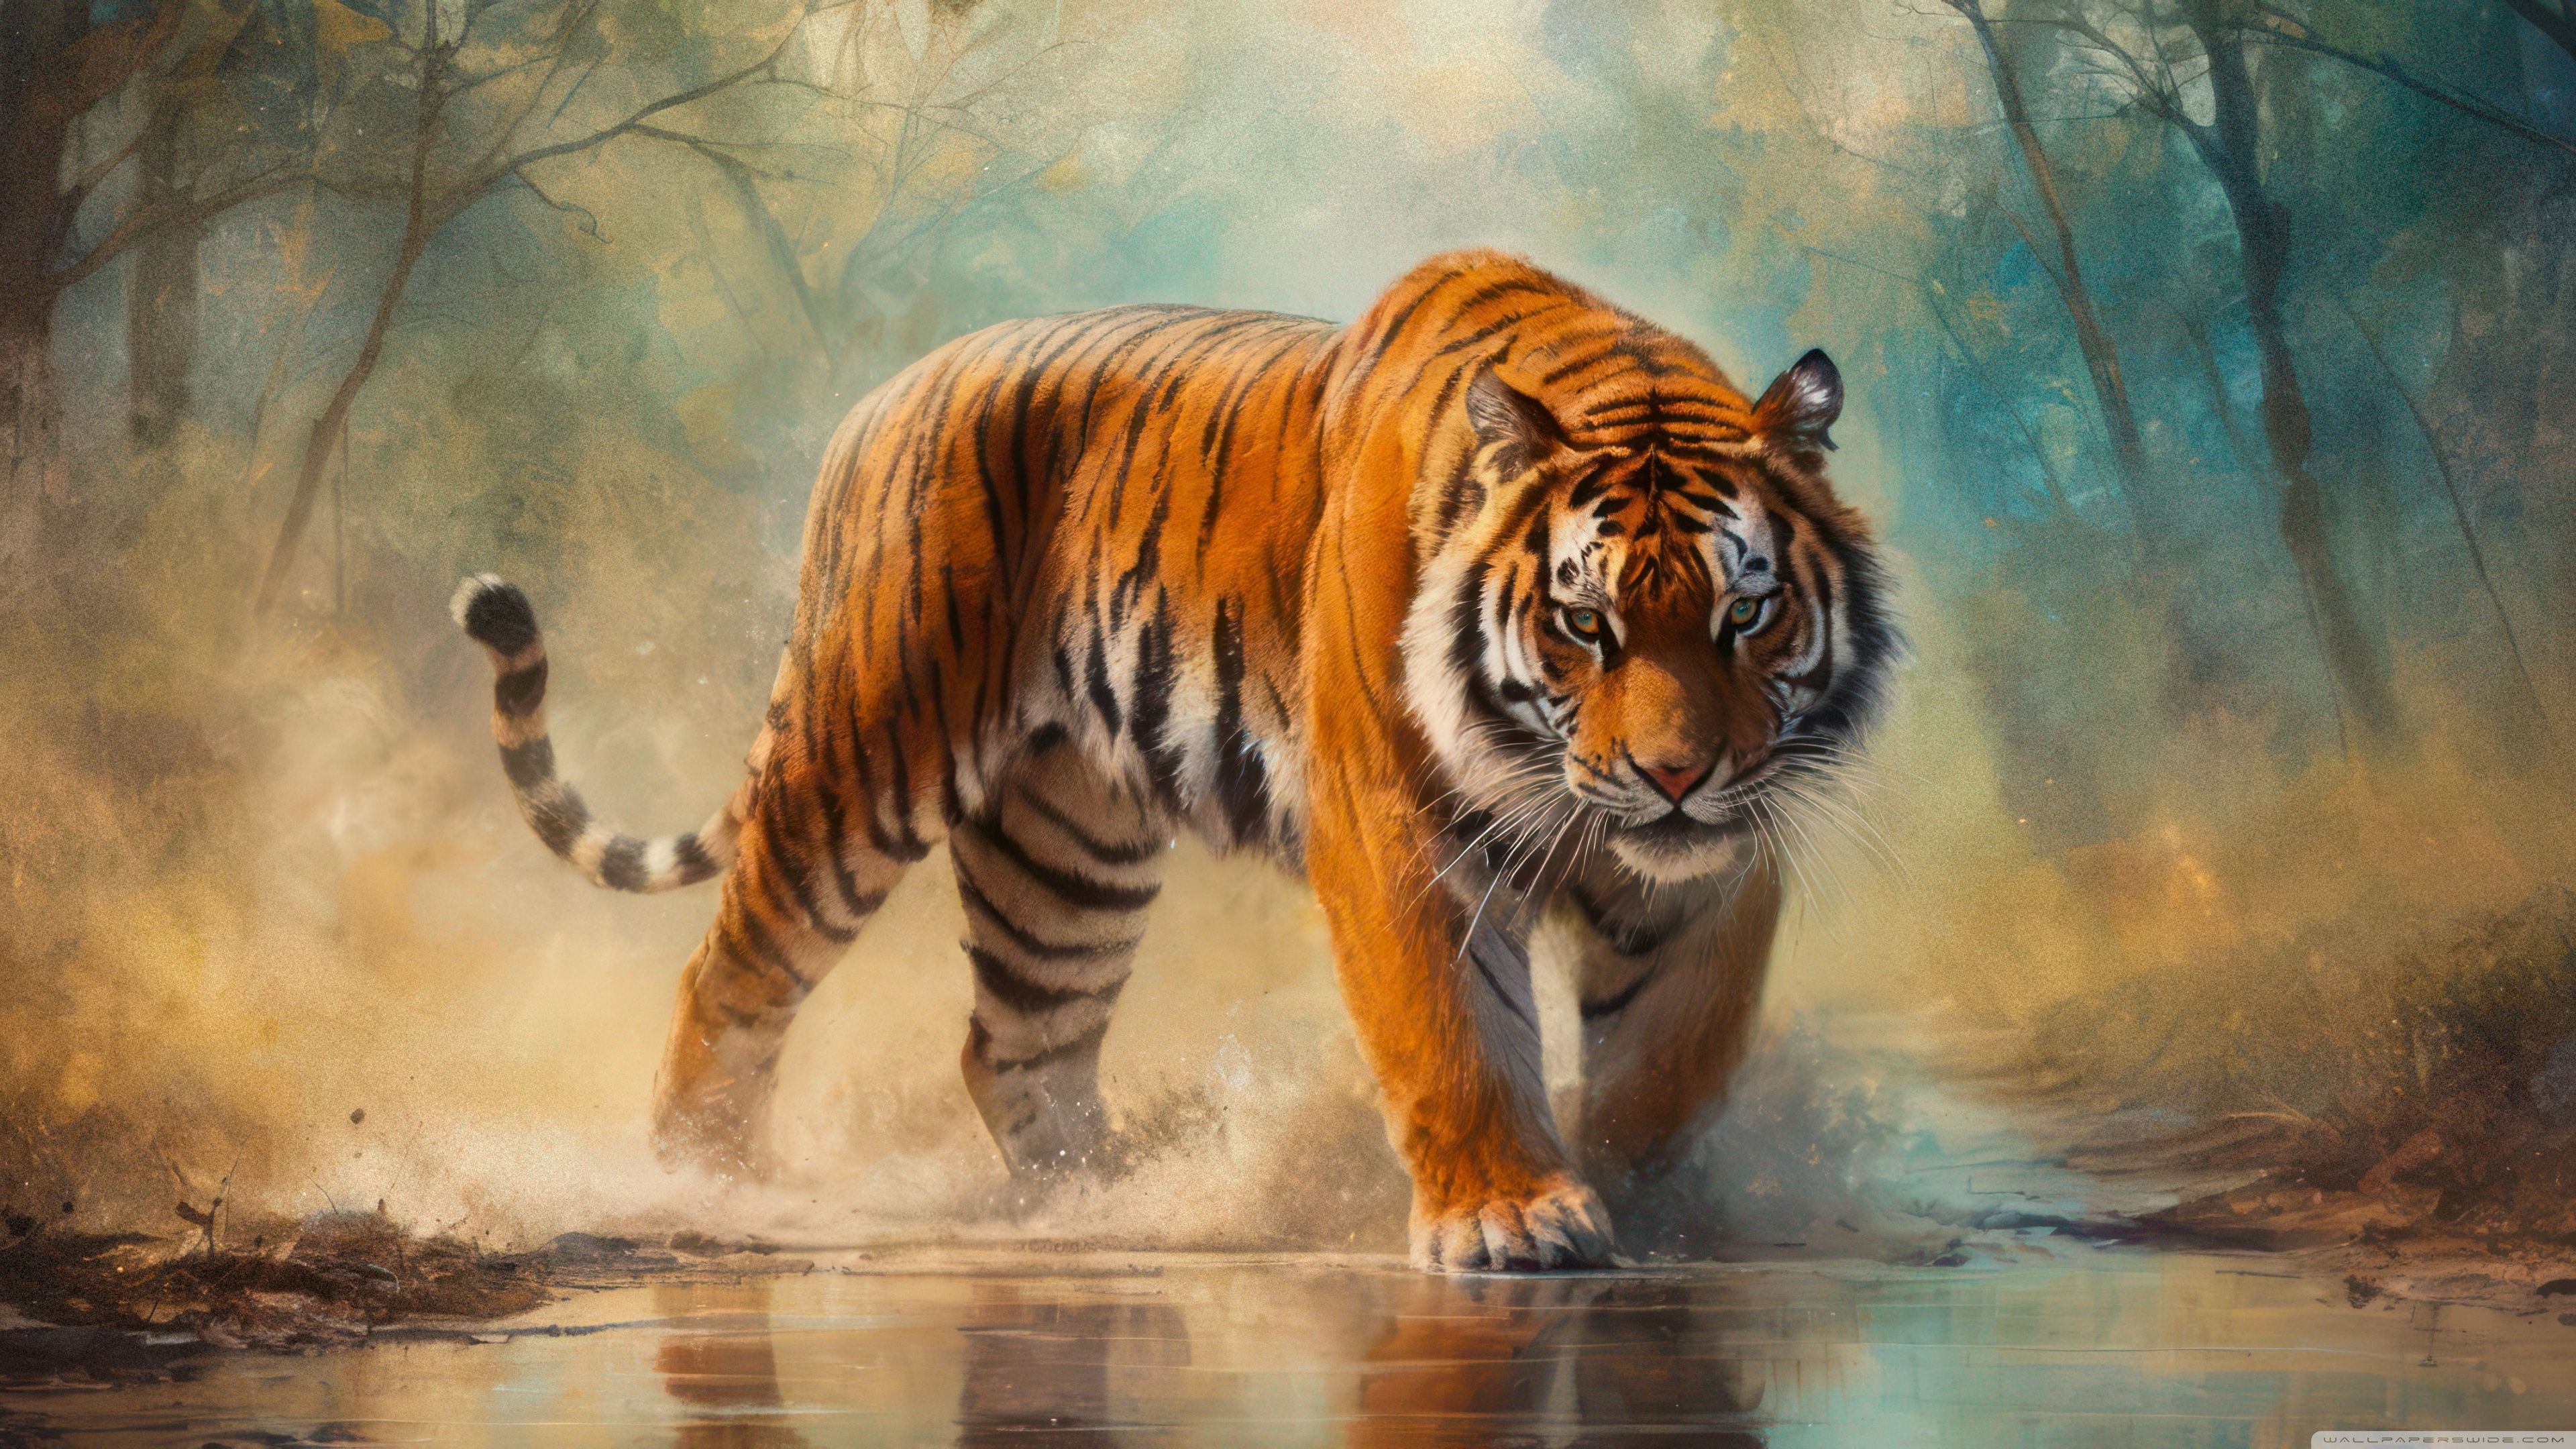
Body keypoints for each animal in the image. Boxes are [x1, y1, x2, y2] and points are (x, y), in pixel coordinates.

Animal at [453, 249, 1892, 1272]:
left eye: (1746, 613)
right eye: (1586, 624)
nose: (1674, 778)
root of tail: (880, 401)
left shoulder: (1718, 865)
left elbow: (1676, 1055)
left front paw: (1651, 1201)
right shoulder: (1400, 834)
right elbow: (1455, 1037)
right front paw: (1510, 1217)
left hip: (1064, 848)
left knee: (1015, 1046)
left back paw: (1111, 1202)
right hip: (860, 762)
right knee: (729, 980)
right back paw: (704, 1183)